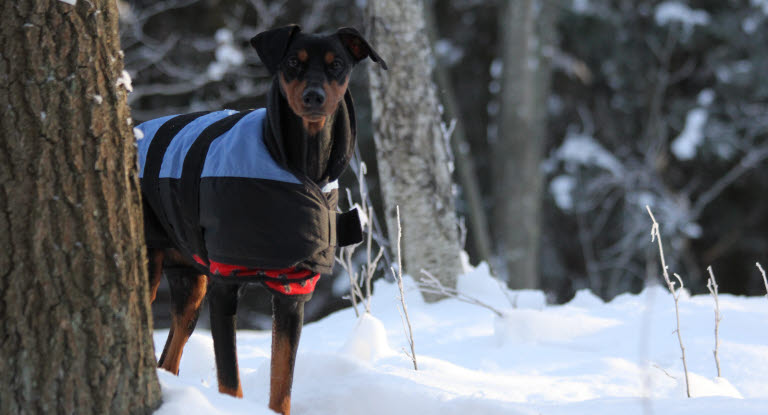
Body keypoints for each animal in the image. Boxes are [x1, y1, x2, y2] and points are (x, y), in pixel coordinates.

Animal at [136, 26, 388, 415]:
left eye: (338, 65)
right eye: (292, 62)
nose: (314, 97)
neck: (299, 165)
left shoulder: (293, 290)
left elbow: (282, 384)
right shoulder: (225, 283)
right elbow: (230, 380)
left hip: (190, 283)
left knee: (169, 358)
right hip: (150, 269)